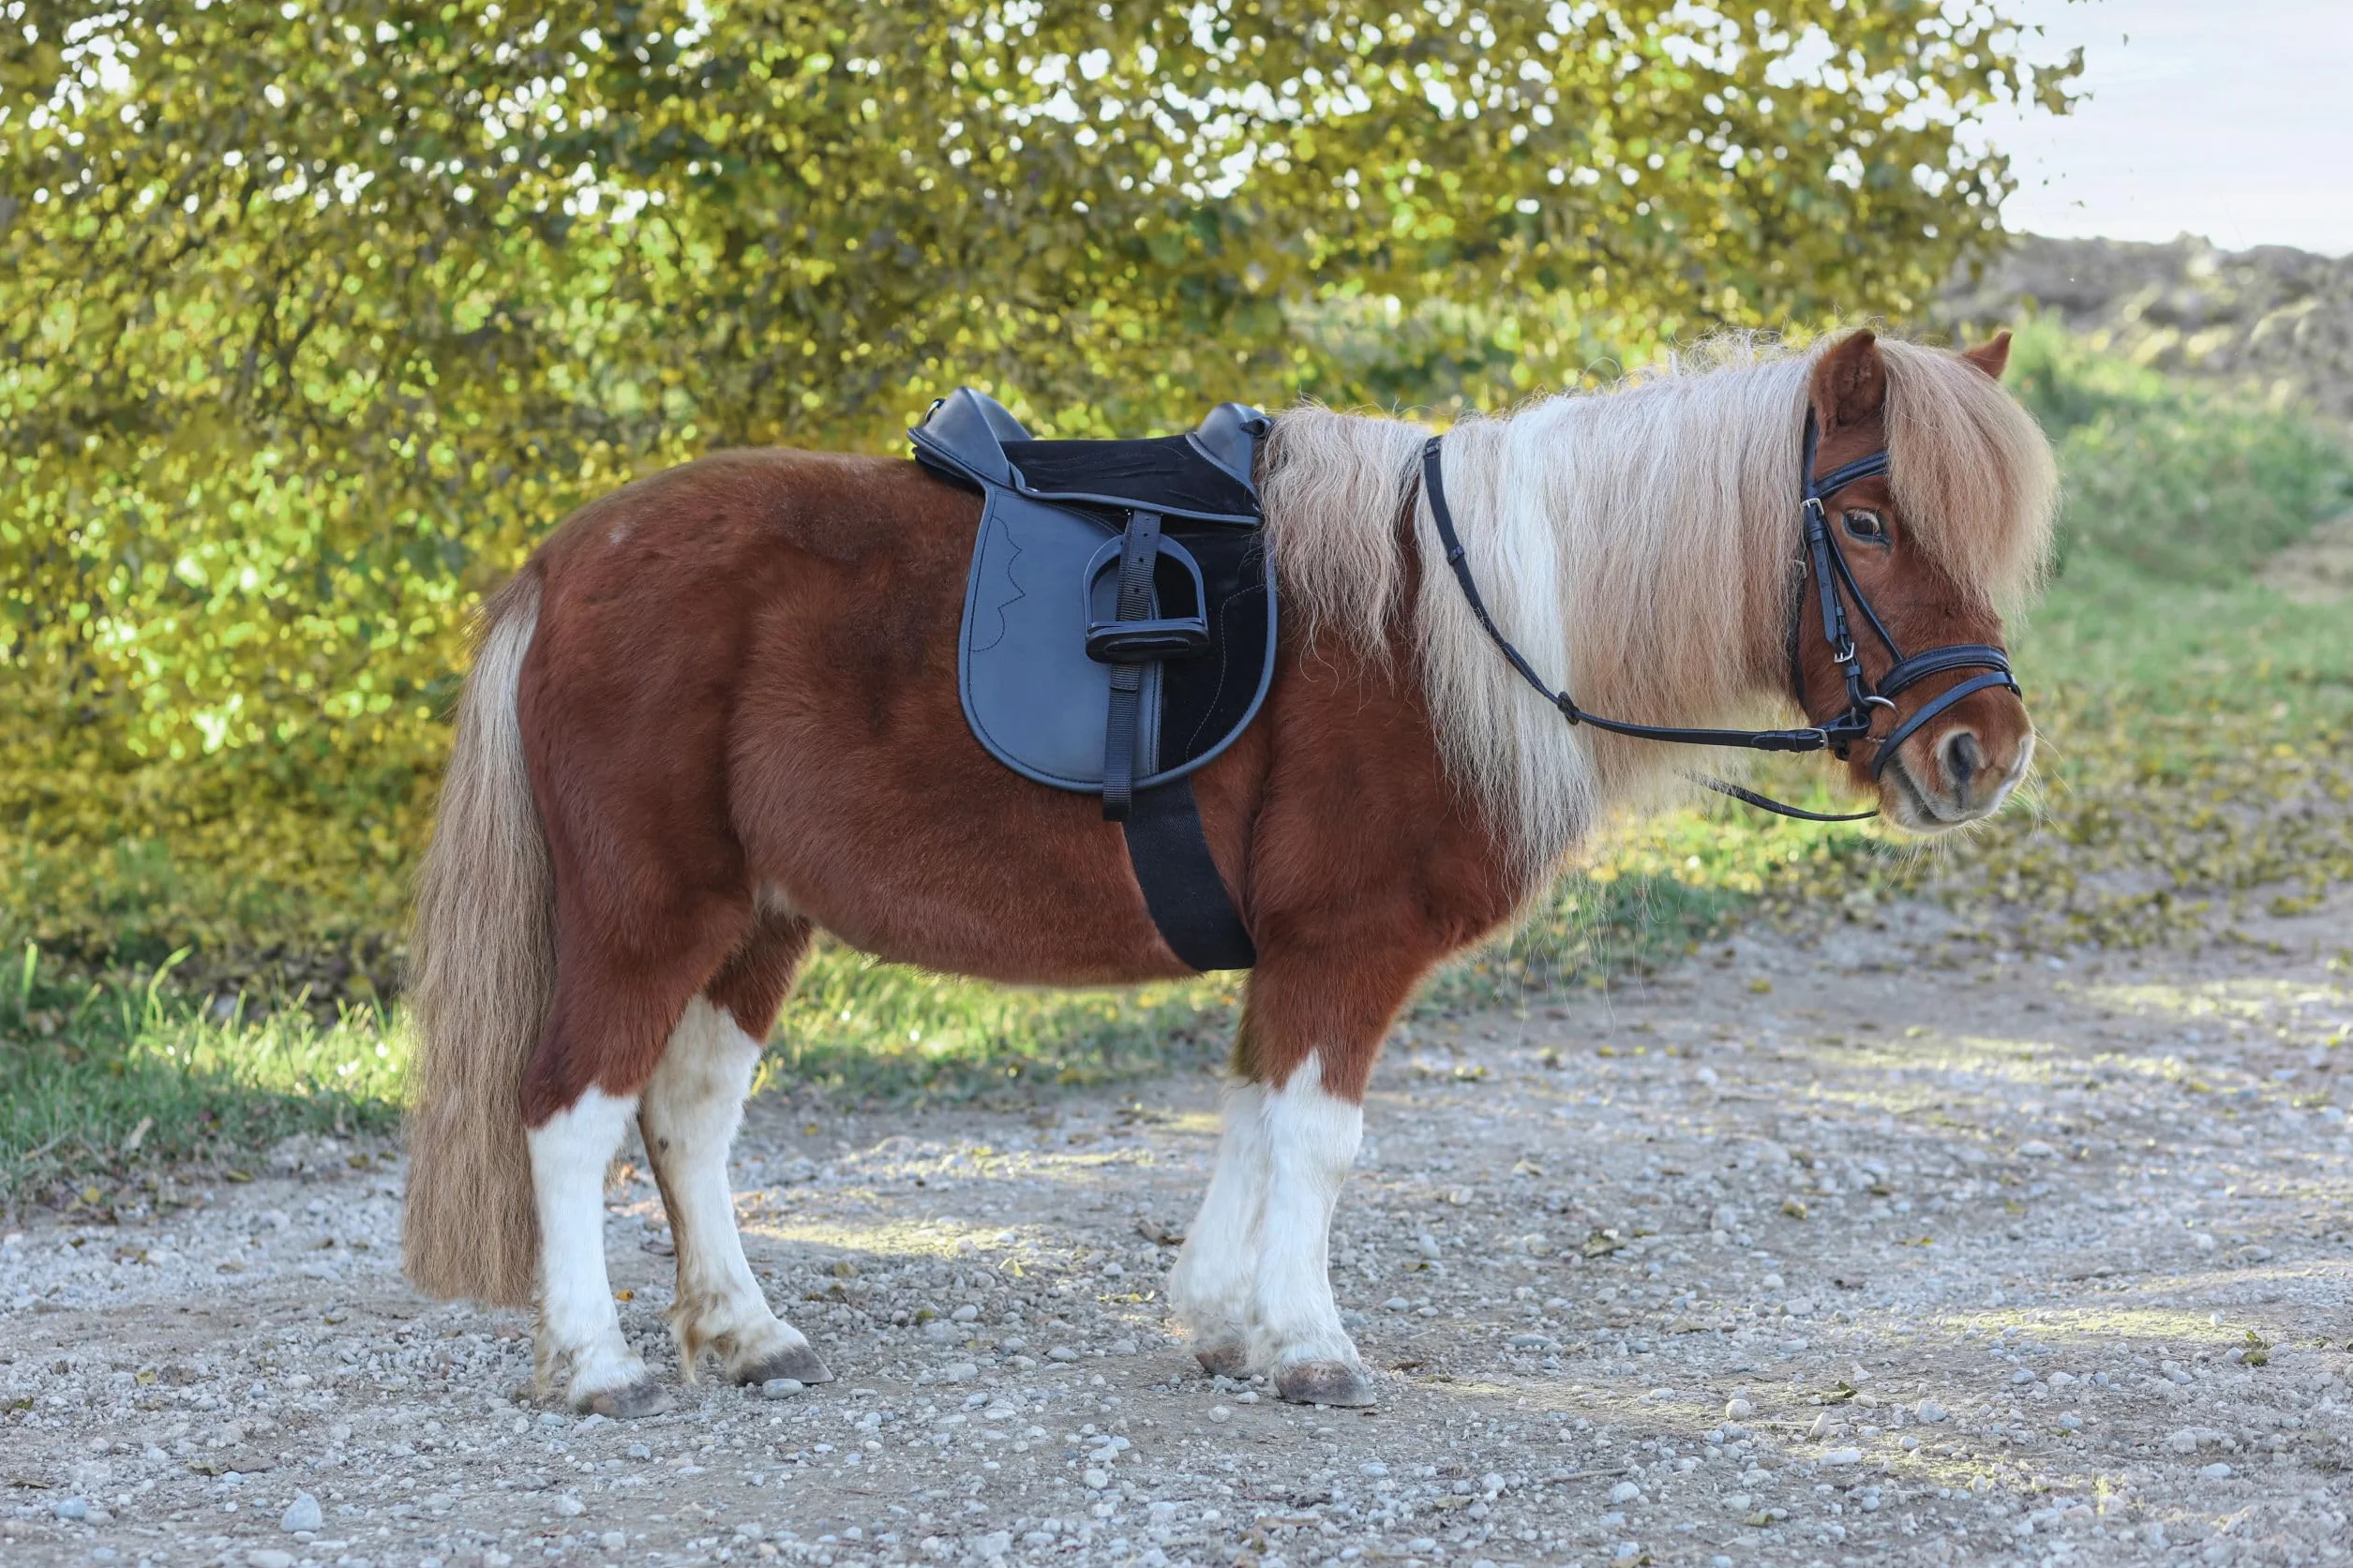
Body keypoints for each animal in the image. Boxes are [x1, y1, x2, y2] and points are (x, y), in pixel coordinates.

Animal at [400, 328, 2058, 1416]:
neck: (1452, 628)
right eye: (1864, 518)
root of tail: (565, 559)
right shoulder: (1347, 944)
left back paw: (743, 1336)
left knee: (686, 1117)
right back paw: (594, 1363)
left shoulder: (1296, 955)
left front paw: (1219, 1321)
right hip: (648, 913)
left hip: (759, 921)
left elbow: (1256, 1119)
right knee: (570, 1112)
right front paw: (1309, 1346)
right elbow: (1316, 1141)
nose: (1979, 750)